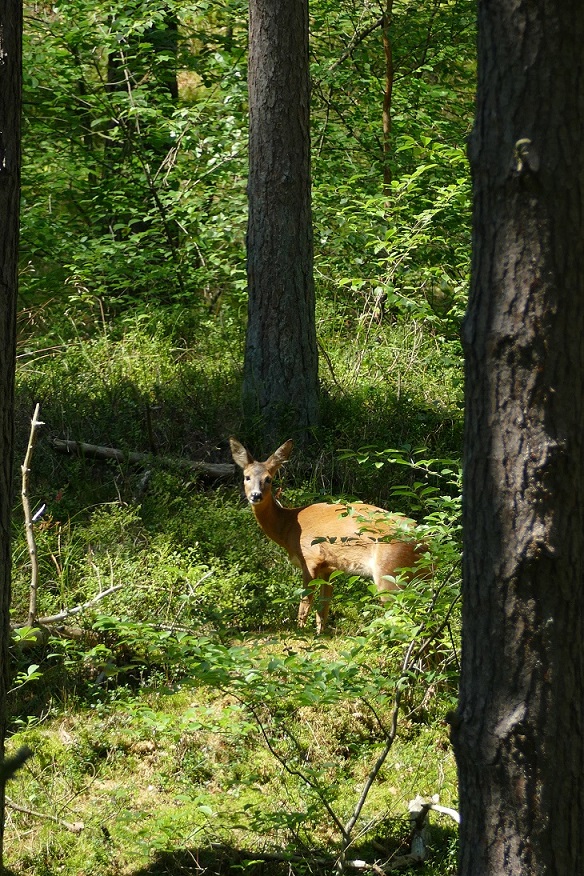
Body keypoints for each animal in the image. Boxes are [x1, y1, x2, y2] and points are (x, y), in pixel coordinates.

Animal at [229, 438, 428, 636]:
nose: (256, 495)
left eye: (268, 479)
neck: (288, 526)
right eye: (246, 477)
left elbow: (305, 604)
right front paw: (319, 634)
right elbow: (323, 608)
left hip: (390, 573)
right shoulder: (329, 567)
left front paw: (300, 632)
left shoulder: (310, 558)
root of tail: (424, 540)